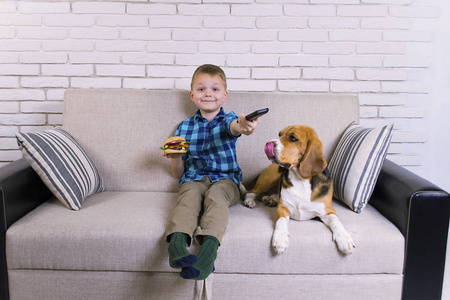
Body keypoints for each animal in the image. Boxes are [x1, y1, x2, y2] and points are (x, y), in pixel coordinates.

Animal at [243, 125, 356, 254]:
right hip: (269, 177)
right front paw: (280, 238)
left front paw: (345, 238)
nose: (268, 144)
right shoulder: (283, 208)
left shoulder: (328, 211)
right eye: (279, 134)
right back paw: (250, 201)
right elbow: (281, 221)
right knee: (251, 192)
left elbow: (336, 221)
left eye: (293, 138)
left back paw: (269, 200)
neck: (301, 179)